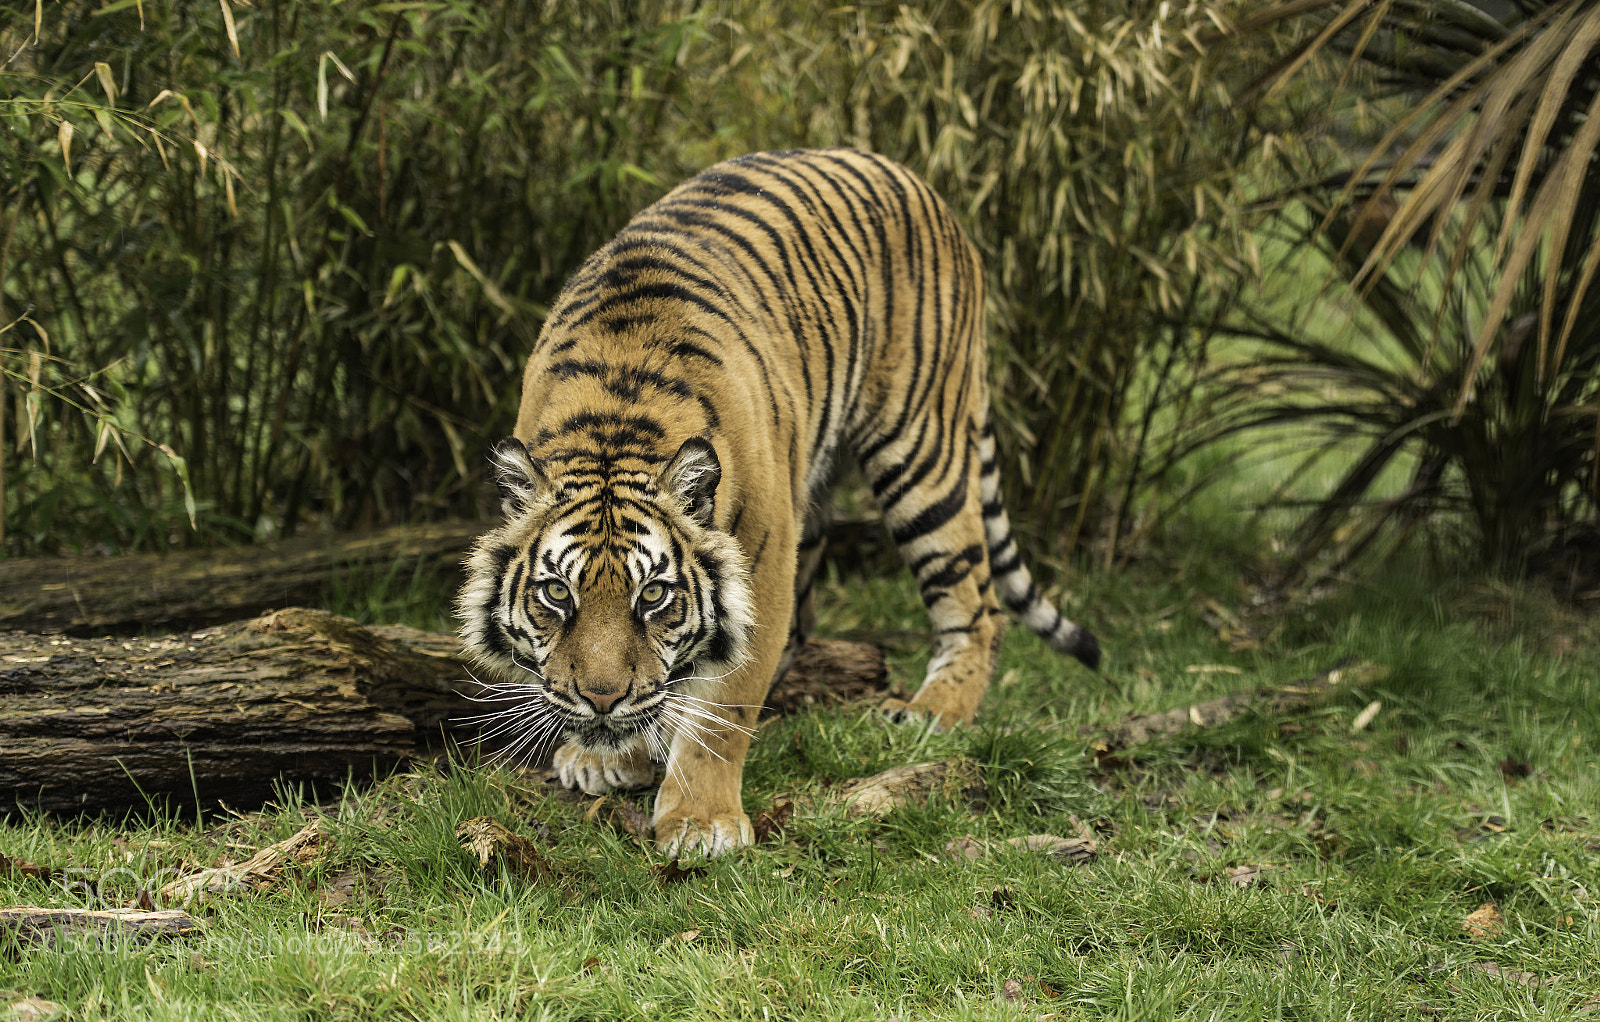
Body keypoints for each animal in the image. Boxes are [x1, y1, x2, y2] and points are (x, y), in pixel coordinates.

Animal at [457, 148, 1100, 858]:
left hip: (921, 449)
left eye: (652, 595)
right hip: (816, 489)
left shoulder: (761, 563)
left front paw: (702, 821)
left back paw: (932, 713)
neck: (613, 425)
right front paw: (618, 755)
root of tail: (919, 181)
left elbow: (722, 704)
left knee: (978, 606)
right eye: (556, 594)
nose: (600, 700)